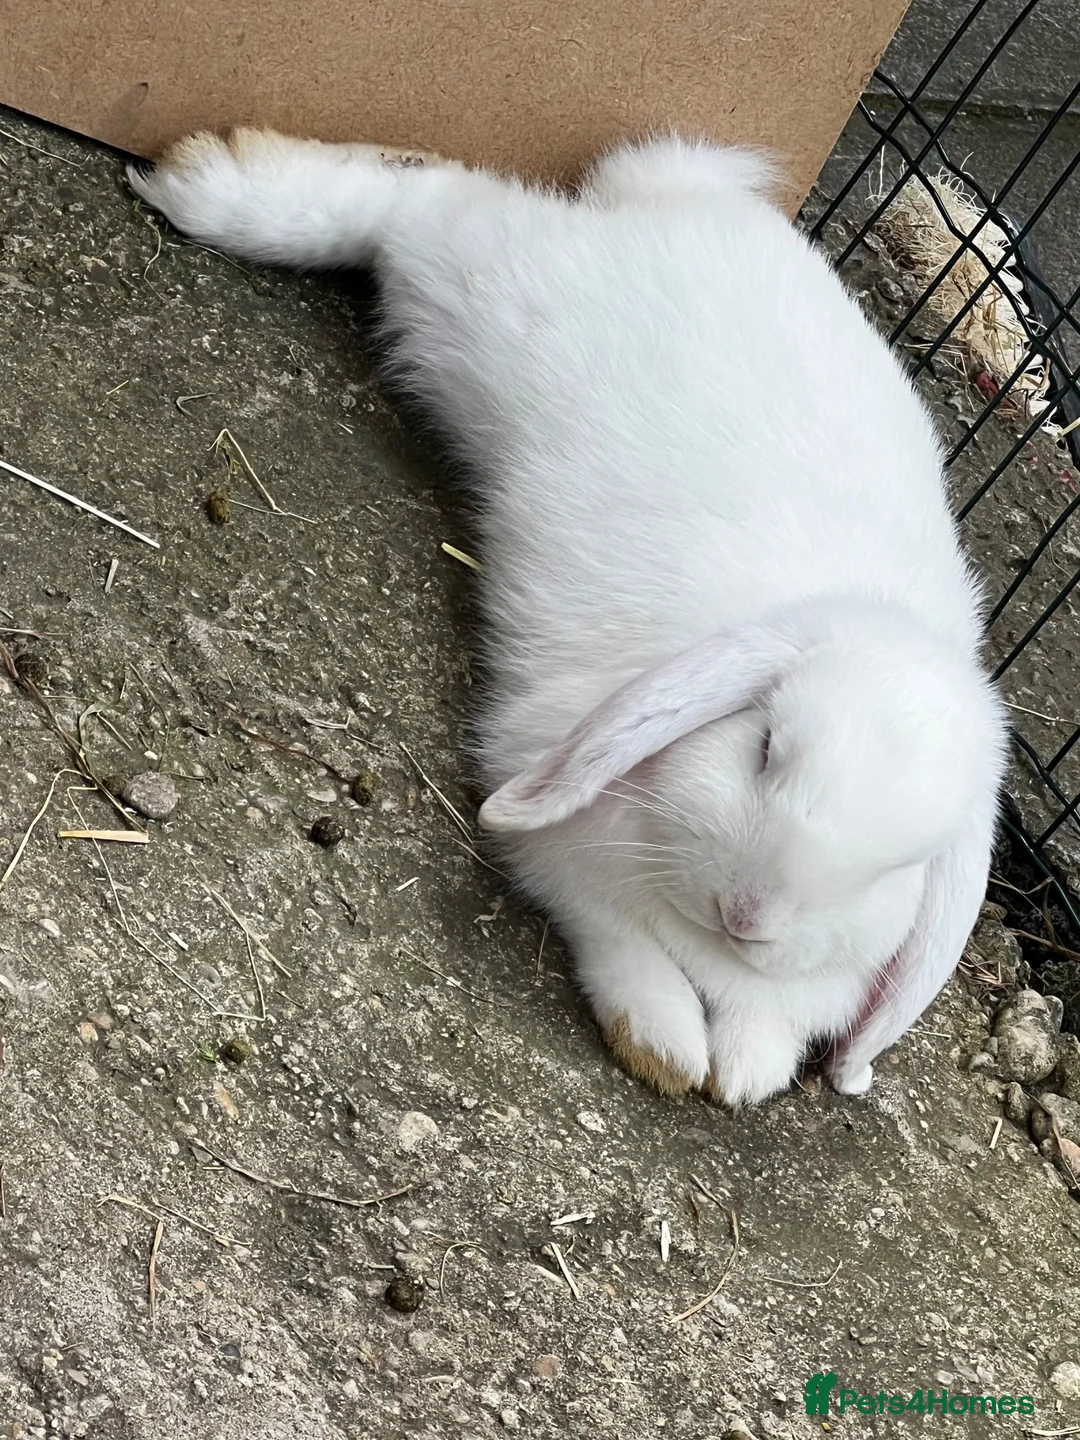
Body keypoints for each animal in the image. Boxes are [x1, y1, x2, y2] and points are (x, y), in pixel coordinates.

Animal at [128, 129, 1008, 1105]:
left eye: (899, 866)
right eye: (765, 748)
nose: (749, 913)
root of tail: (687, 201)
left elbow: (769, 1028)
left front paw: (743, 1077)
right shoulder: (567, 859)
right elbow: (624, 953)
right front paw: (665, 1050)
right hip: (483, 298)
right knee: (416, 204)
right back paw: (208, 185)